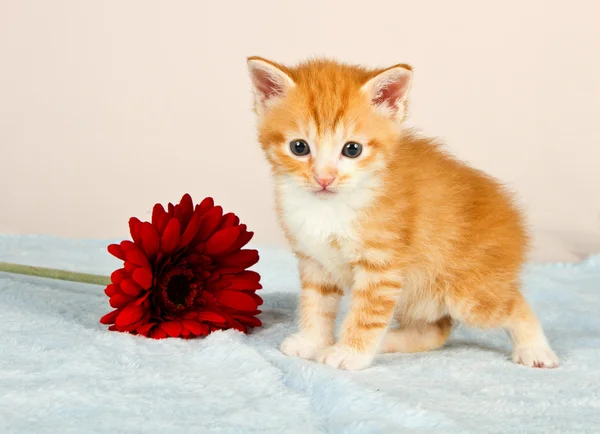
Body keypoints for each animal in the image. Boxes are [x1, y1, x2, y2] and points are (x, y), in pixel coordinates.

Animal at [244, 56, 556, 372]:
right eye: (299, 147)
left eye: (352, 149)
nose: (324, 178)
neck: (330, 207)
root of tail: (513, 218)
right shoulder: (315, 261)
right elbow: (316, 305)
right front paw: (312, 342)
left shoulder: (382, 266)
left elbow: (367, 314)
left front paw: (349, 353)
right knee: (437, 330)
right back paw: (387, 342)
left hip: (469, 293)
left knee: (513, 304)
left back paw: (535, 349)